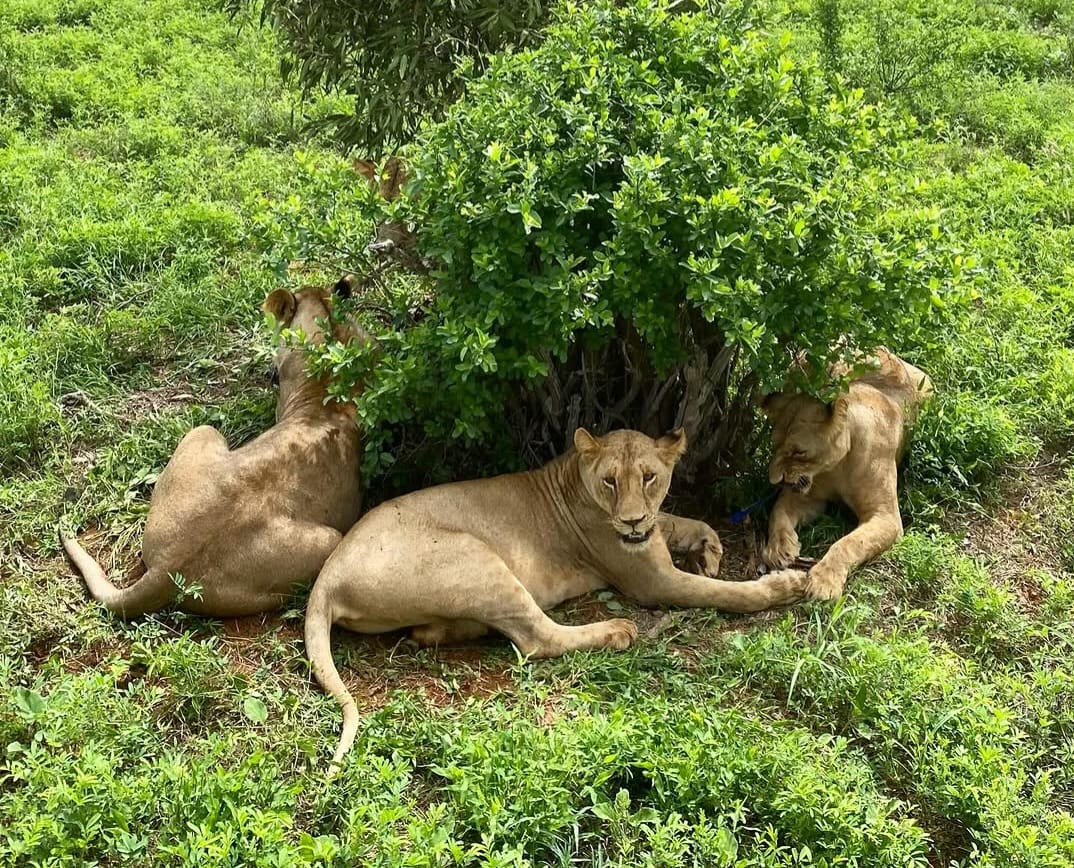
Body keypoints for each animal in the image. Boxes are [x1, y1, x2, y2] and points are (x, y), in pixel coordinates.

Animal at [305, 427, 808, 767]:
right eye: (610, 481)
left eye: (649, 477)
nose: (630, 520)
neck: (575, 480)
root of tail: (328, 575)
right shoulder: (650, 580)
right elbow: (723, 593)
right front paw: (780, 586)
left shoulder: (651, 532)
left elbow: (677, 520)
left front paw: (709, 547)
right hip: (478, 558)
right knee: (537, 638)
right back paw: (616, 631)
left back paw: (443, 630)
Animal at [760, 348, 933, 600]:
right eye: (774, 444)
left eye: (799, 451)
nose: (775, 480)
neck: (836, 467)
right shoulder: (810, 497)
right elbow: (778, 510)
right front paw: (780, 548)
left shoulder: (886, 516)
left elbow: (850, 543)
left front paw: (824, 581)